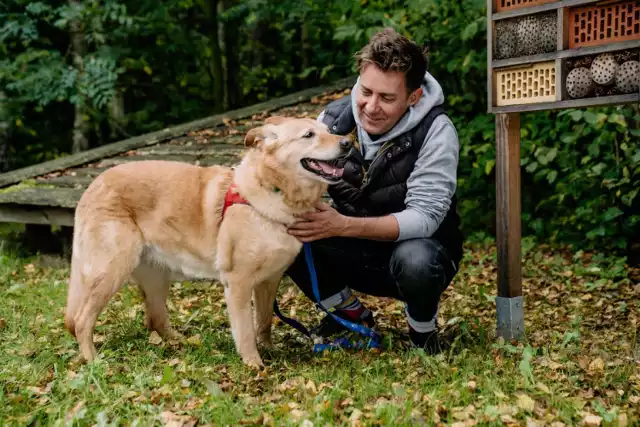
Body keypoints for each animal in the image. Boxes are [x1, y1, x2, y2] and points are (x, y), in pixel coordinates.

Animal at [63, 116, 350, 368]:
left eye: (330, 130)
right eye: (309, 135)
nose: (348, 143)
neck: (274, 192)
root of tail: (94, 184)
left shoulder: (270, 280)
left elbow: (264, 321)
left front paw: (269, 350)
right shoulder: (238, 283)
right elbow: (246, 331)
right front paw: (254, 364)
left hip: (156, 276)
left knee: (155, 320)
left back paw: (184, 342)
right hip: (112, 270)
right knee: (82, 320)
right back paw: (93, 360)